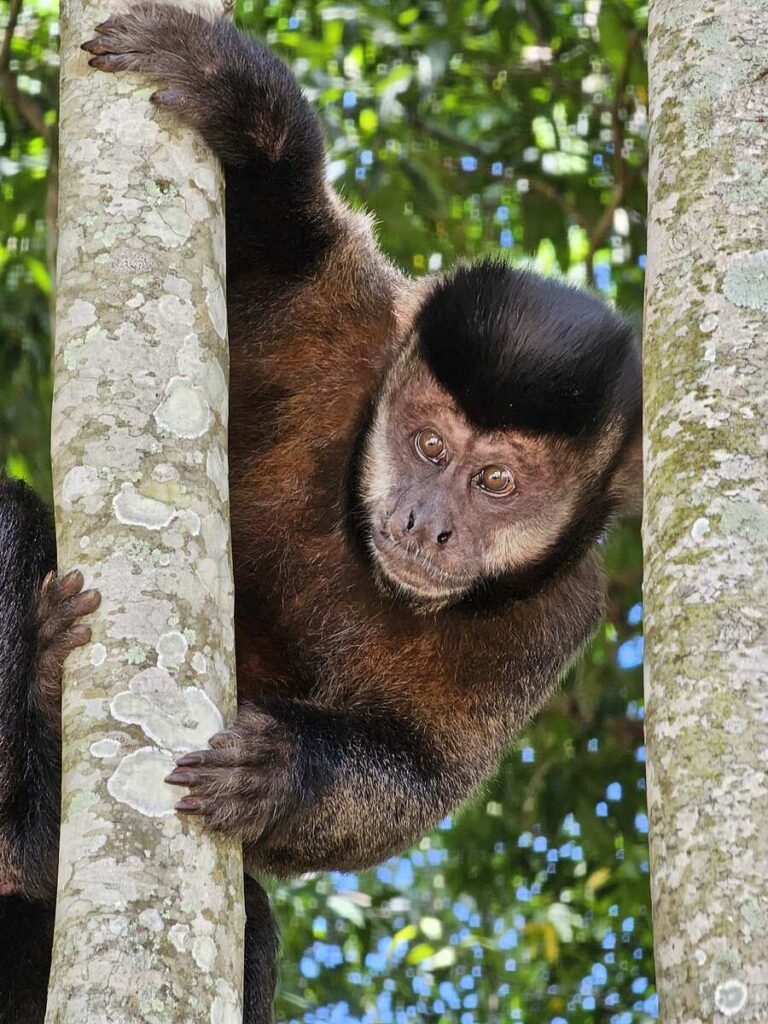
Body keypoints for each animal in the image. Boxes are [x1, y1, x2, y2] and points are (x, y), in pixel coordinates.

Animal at [0, 5, 642, 1021]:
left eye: (497, 483)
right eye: (428, 447)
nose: (425, 522)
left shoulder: (558, 617)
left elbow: (411, 777)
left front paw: (283, 773)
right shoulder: (345, 334)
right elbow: (275, 255)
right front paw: (248, 109)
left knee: (255, 927)